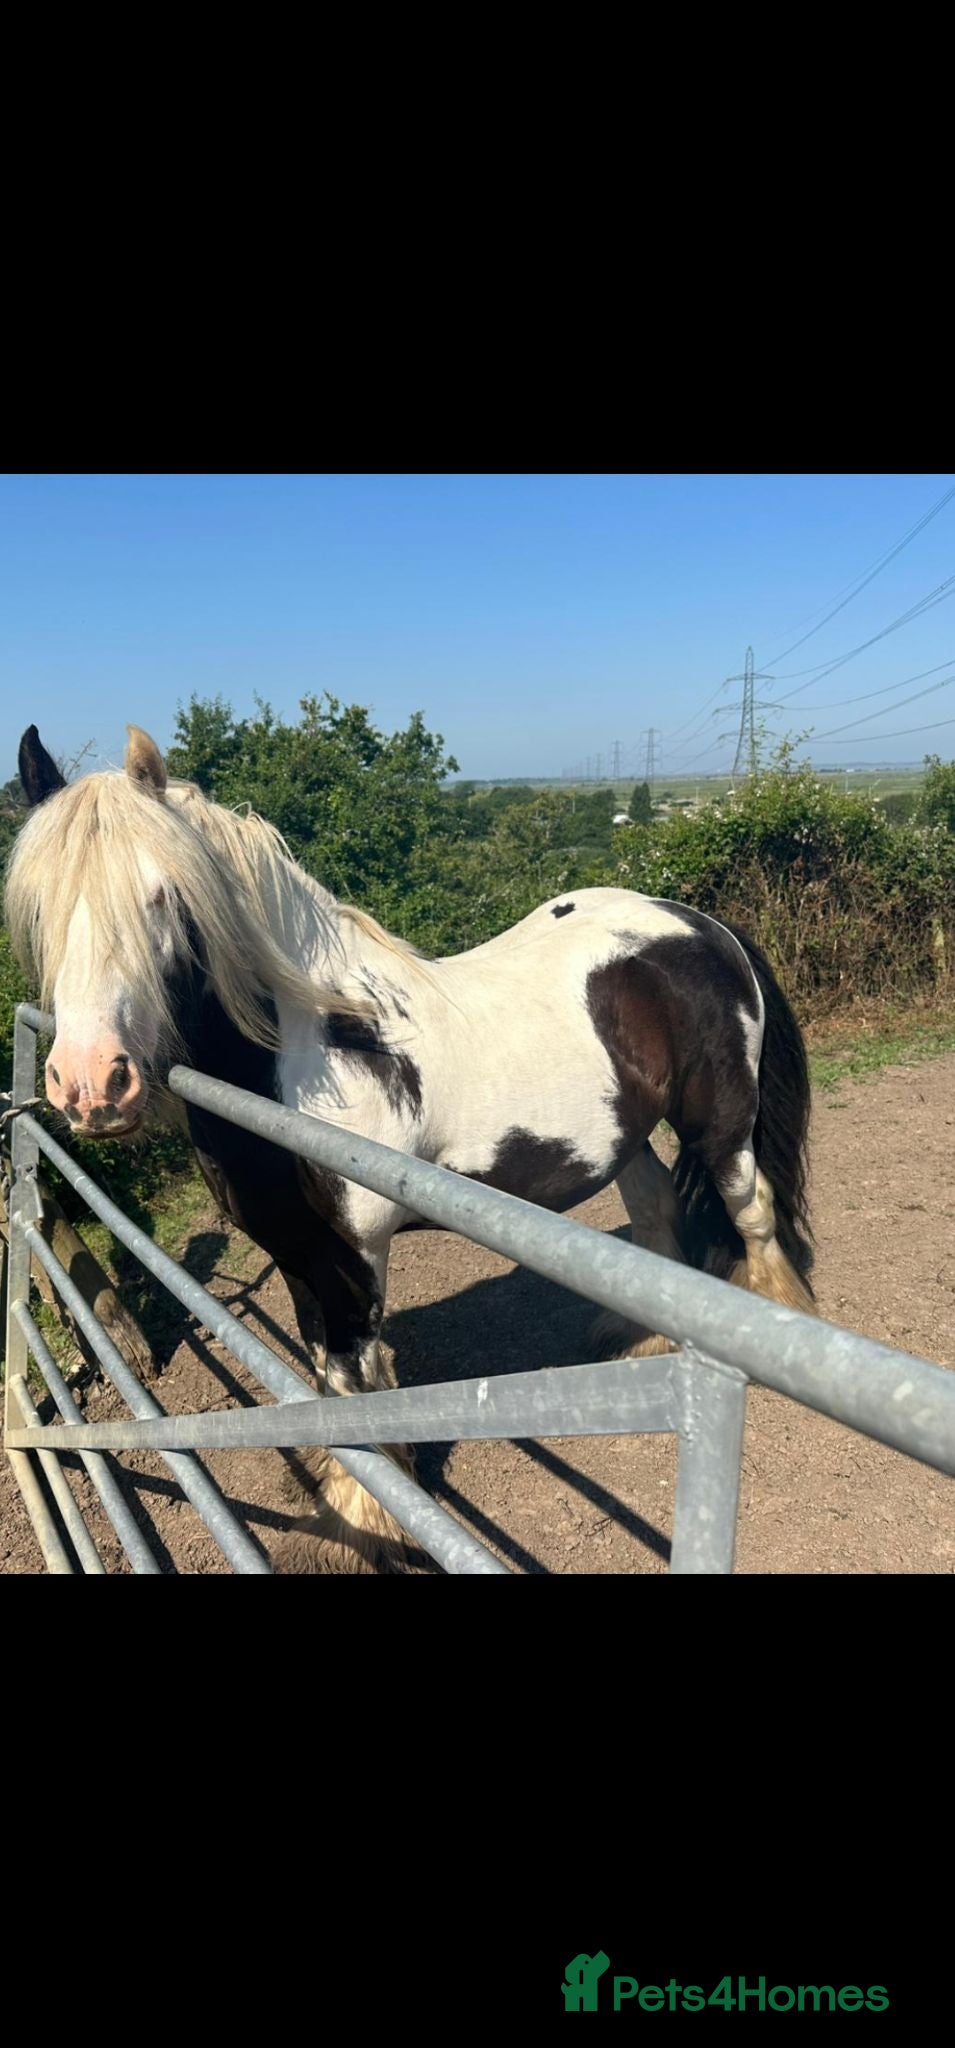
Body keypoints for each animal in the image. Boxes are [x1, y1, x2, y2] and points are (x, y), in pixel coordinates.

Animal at [7, 722, 814, 1572]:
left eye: (161, 894)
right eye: (38, 908)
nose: (91, 1085)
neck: (315, 1049)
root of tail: (699, 924)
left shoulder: (357, 1253)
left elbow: (357, 1379)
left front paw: (369, 1521)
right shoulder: (296, 1252)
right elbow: (328, 1377)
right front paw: (347, 1510)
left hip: (719, 1123)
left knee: (751, 1210)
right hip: (628, 1139)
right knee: (657, 1212)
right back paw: (639, 1342)